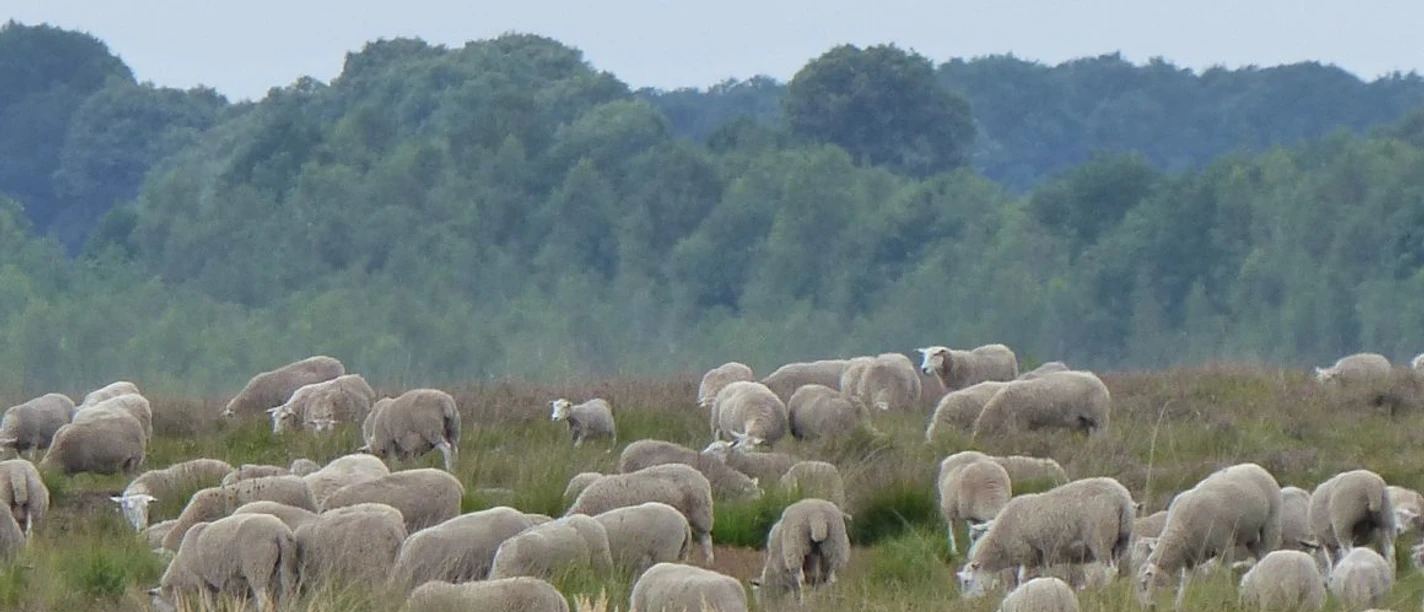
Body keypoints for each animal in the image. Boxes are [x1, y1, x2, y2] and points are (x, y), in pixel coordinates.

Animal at [149, 513, 297, 612]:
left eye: (156, 605)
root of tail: (280, 531)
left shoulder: (201, 581)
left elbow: (207, 605)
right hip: (282, 566)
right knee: (285, 596)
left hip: (256, 566)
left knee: (264, 602)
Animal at [959, 477, 1135, 599]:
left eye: (967, 581)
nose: (967, 603)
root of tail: (1122, 496)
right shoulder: (1041, 558)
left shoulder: (1028, 554)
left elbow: (1022, 578)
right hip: (1120, 541)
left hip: (1100, 538)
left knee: (1109, 571)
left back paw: (1102, 592)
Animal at [1136, 463, 1282, 610]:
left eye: (1144, 584)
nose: (1146, 607)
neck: (1180, 530)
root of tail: (1256, 466)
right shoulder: (1191, 558)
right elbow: (1185, 584)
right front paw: (1179, 604)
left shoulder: (1224, 545)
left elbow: (1225, 573)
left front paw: (1226, 594)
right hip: (1250, 535)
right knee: (1258, 554)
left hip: (1271, 521)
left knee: (1266, 551)